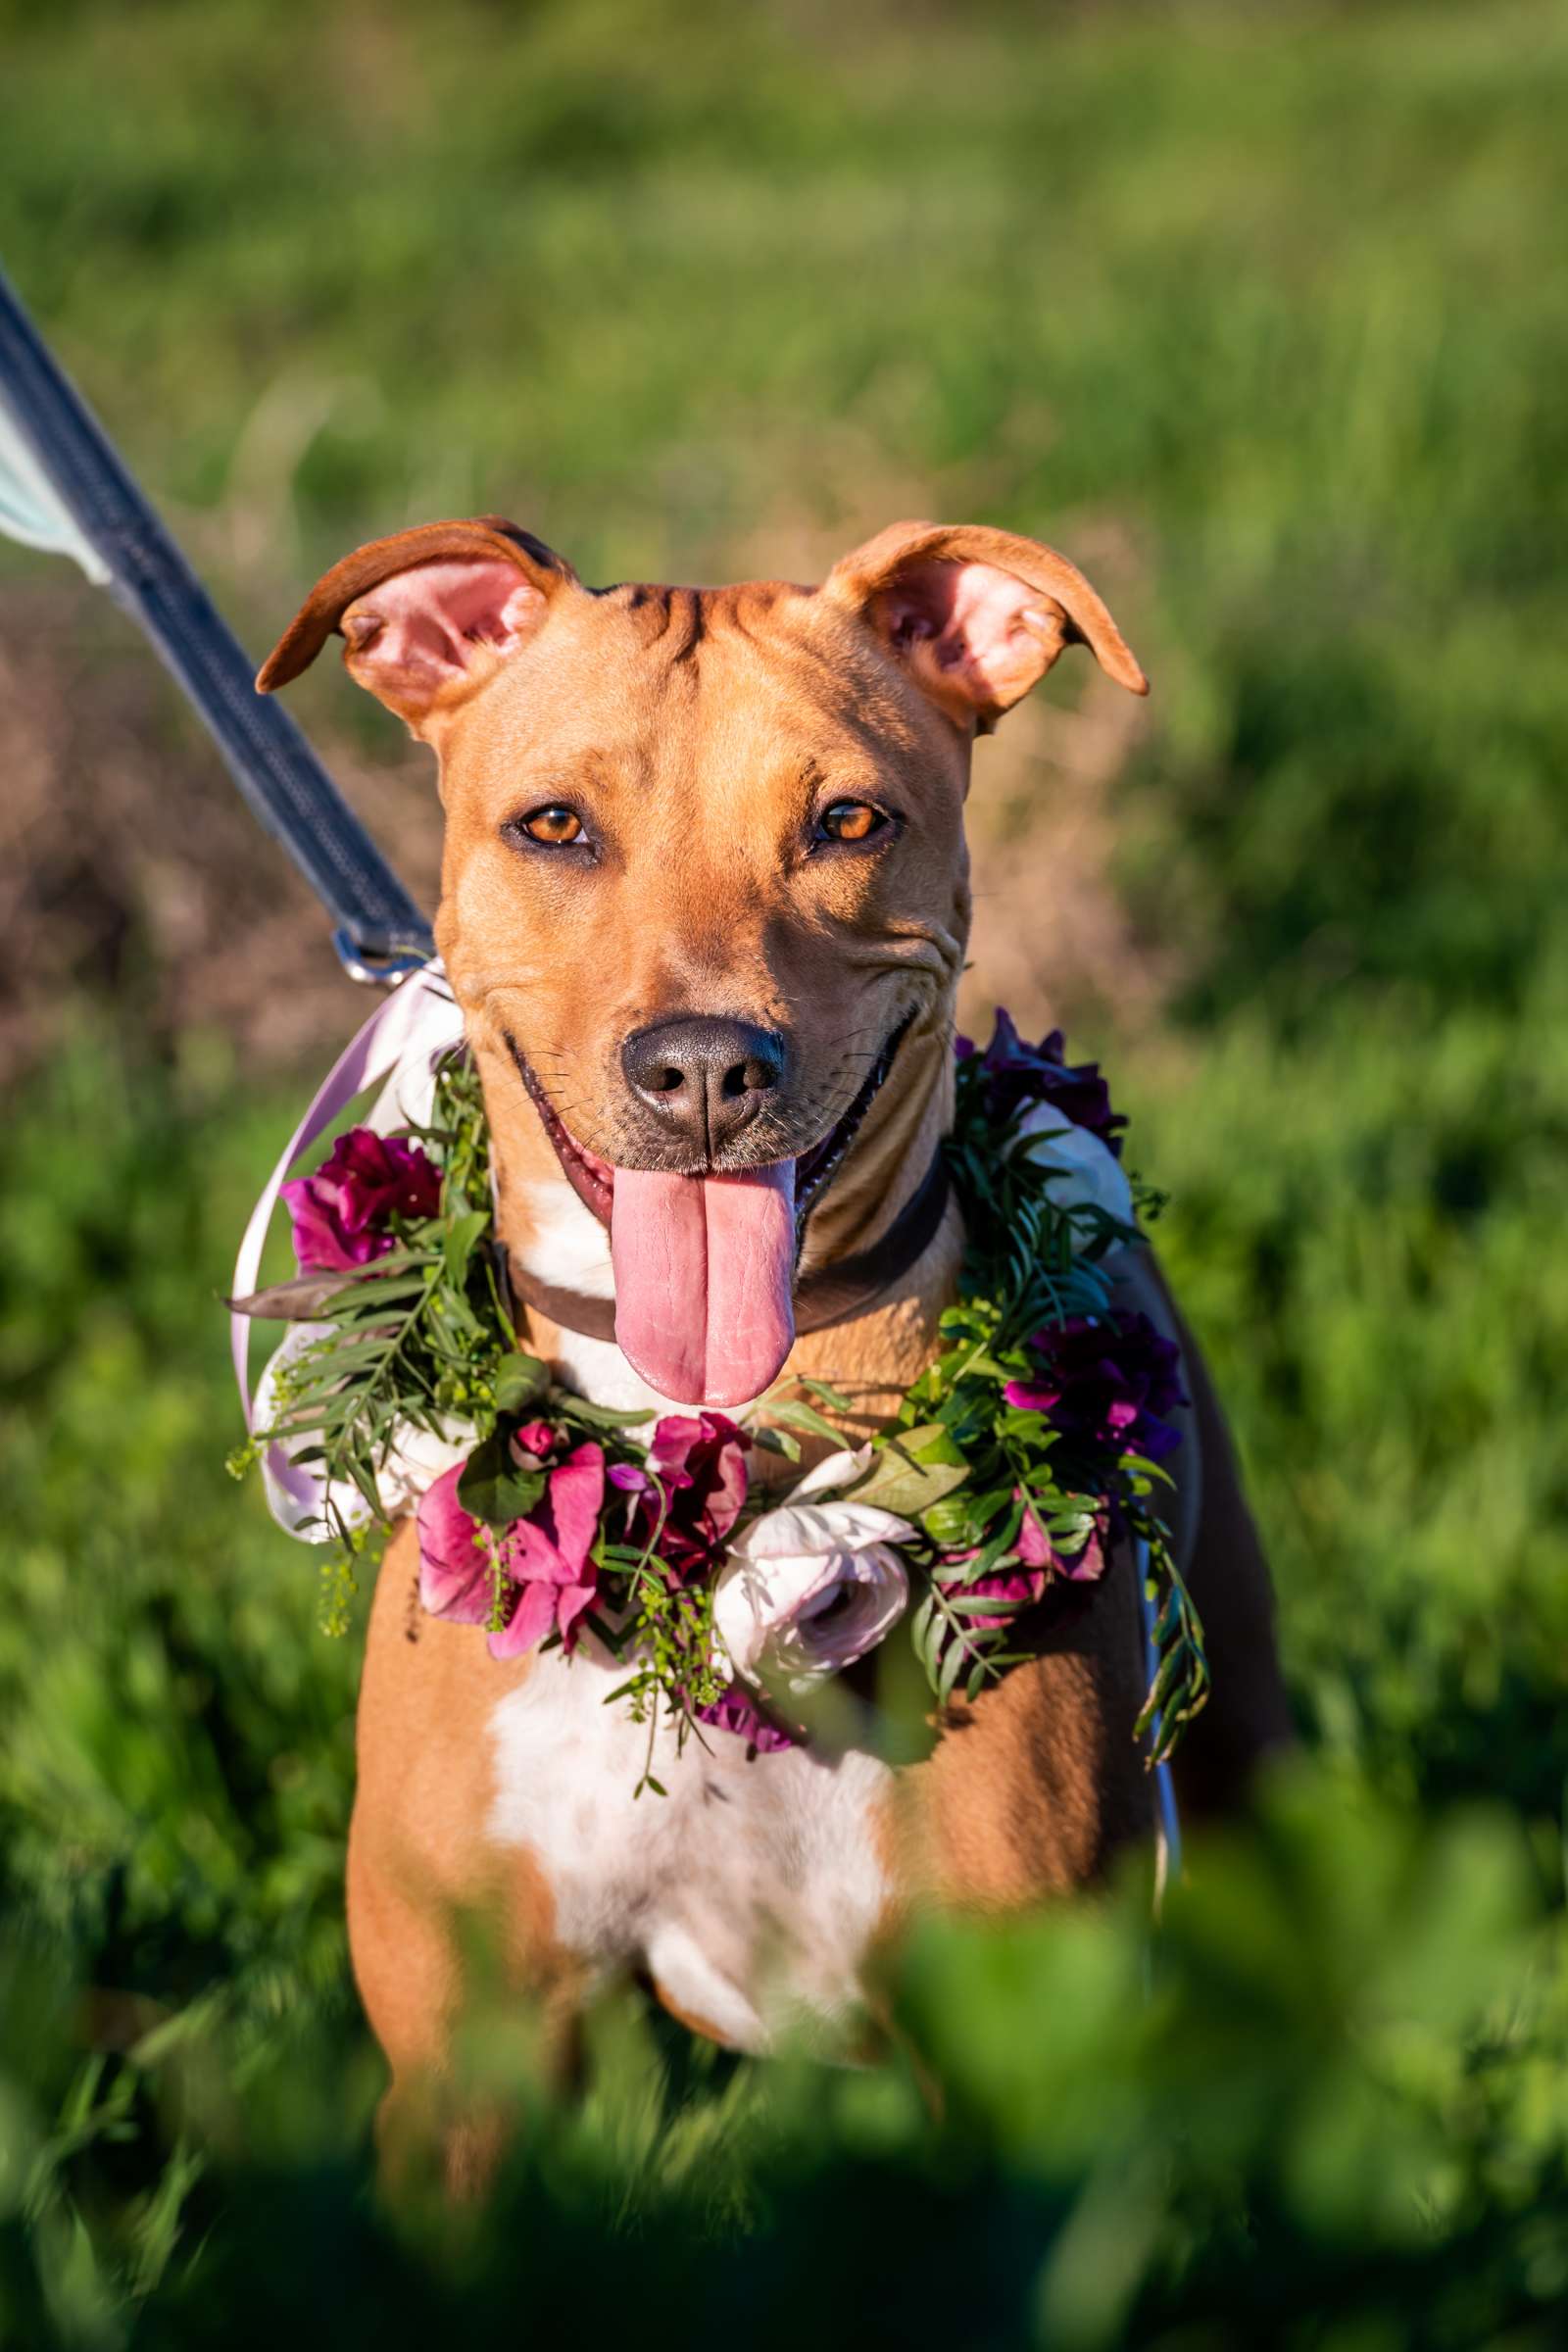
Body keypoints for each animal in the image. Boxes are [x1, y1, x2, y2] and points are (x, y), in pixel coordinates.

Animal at [257, 510, 1288, 2164]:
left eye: (850, 821)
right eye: (555, 828)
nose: (702, 1067)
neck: (706, 1466)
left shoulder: (1020, 2059)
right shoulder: (468, 2069)